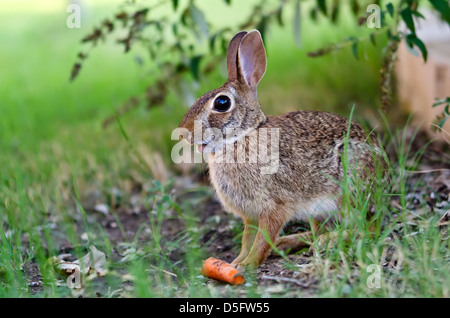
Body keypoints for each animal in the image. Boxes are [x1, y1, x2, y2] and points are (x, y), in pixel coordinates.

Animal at [178, 29, 380, 270]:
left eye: (222, 103)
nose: (184, 132)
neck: (243, 136)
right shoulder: (250, 214)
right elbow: (247, 239)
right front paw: (236, 262)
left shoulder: (275, 207)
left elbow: (262, 239)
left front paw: (247, 266)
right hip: (319, 211)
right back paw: (289, 243)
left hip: (348, 190)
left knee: (366, 229)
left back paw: (326, 242)